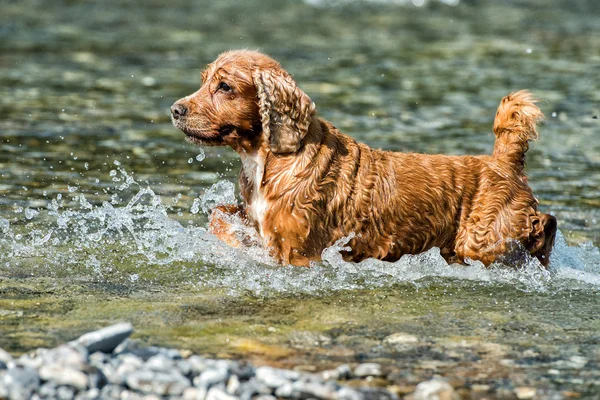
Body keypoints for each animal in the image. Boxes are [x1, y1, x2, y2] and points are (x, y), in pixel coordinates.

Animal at [170, 50, 556, 268]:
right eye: (203, 81)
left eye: (224, 87)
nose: (175, 109)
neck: (274, 160)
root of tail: (502, 162)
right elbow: (220, 214)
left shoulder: (297, 250)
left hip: (481, 240)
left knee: (542, 224)